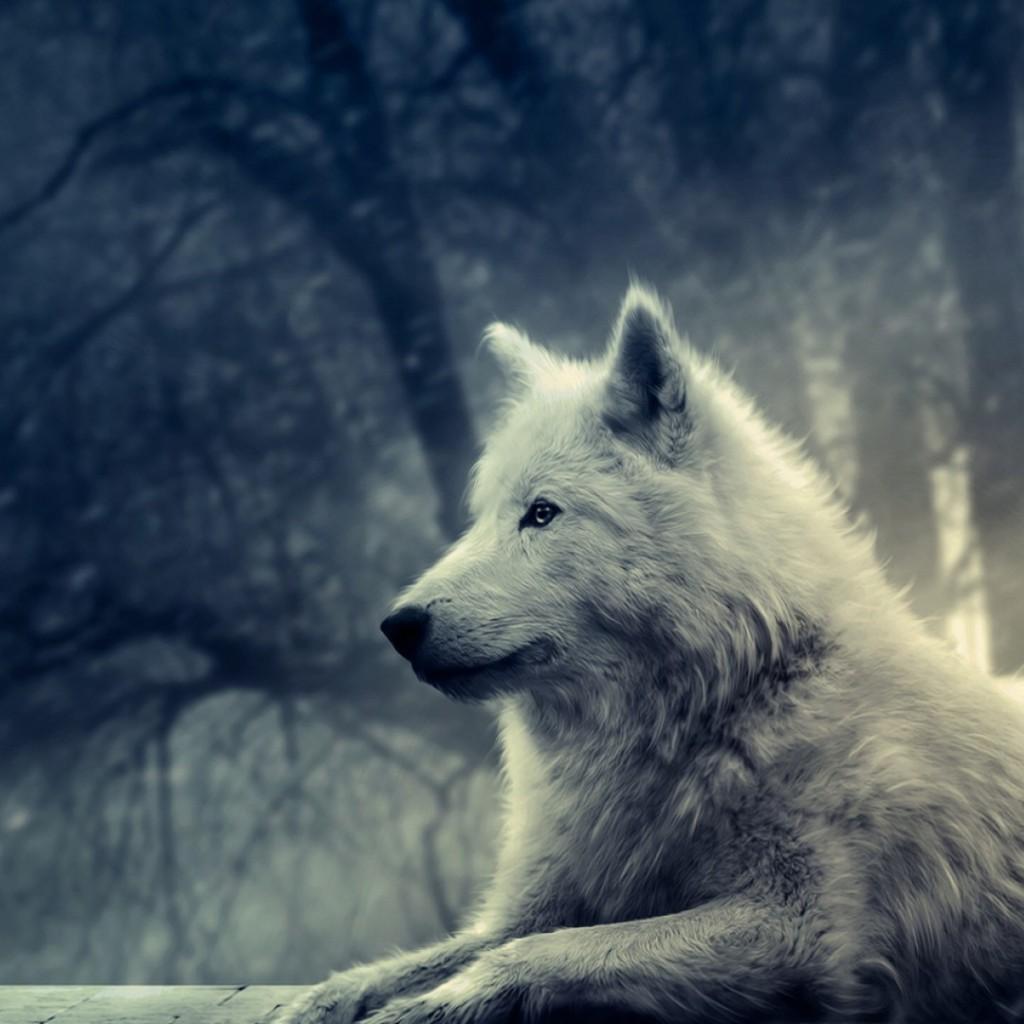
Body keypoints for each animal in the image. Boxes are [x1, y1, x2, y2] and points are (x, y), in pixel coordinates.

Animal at [280, 287, 1024, 1023]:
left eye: (541, 513)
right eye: (482, 517)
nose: (397, 625)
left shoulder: (802, 929)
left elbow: (541, 953)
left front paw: (431, 1006)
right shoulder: (533, 904)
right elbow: (419, 961)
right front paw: (323, 1000)